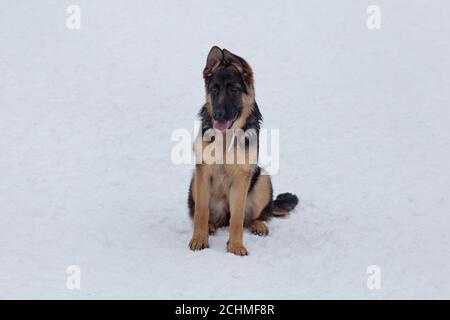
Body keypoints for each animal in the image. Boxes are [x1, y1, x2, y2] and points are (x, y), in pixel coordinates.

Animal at [187, 46, 298, 256]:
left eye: (233, 90)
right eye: (214, 90)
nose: (218, 114)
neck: (226, 138)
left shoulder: (241, 178)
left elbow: (237, 219)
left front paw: (236, 246)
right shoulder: (203, 172)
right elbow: (201, 213)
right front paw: (199, 239)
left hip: (262, 179)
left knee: (254, 217)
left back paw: (258, 225)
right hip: (195, 180)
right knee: (207, 215)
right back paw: (211, 227)